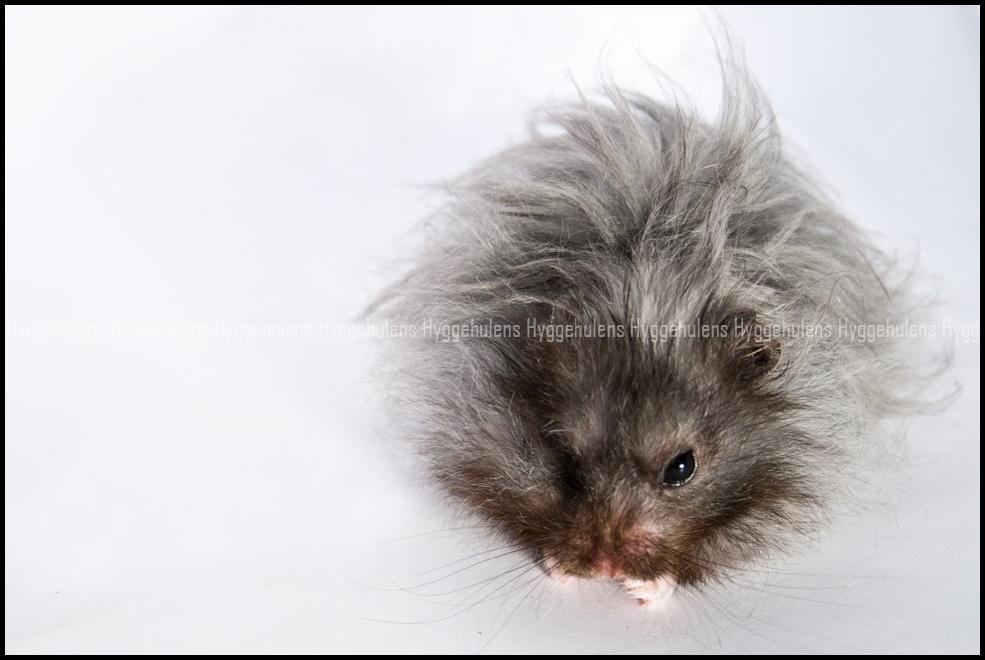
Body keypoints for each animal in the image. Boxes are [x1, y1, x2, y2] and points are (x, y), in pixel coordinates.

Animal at [372, 62, 936, 605]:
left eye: (682, 468)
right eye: (566, 461)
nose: (606, 569)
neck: (646, 300)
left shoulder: (793, 481)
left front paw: (644, 590)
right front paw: (563, 572)